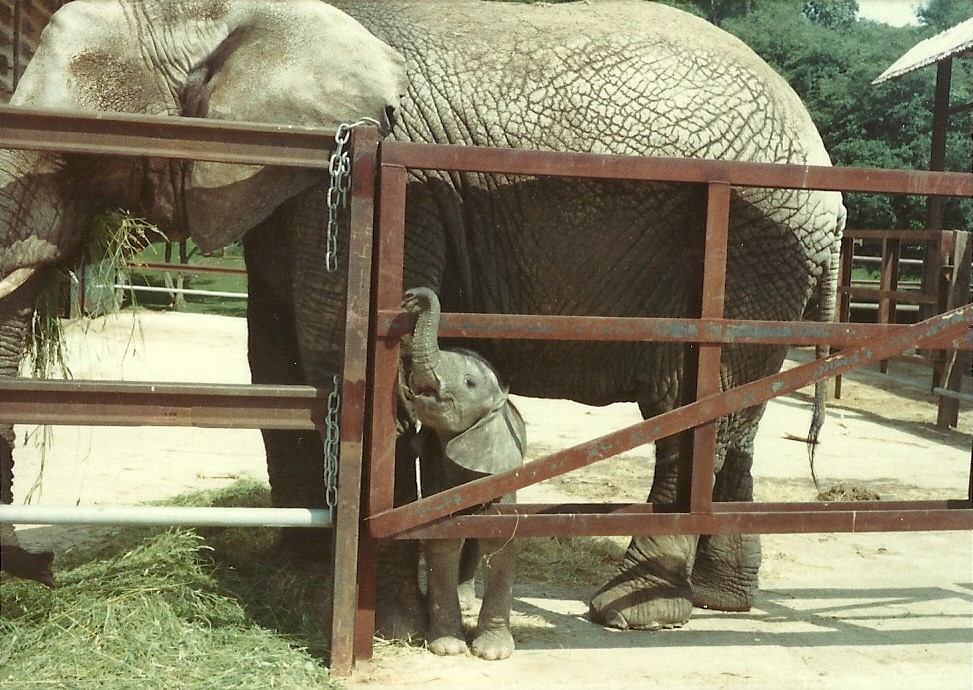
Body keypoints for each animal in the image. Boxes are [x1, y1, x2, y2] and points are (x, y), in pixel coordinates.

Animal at [400, 286, 524, 660]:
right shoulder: (434, 465)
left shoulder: (503, 467)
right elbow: (442, 534)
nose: (412, 296)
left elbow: (498, 535)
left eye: (469, 382)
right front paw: (446, 648)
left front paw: (493, 654)